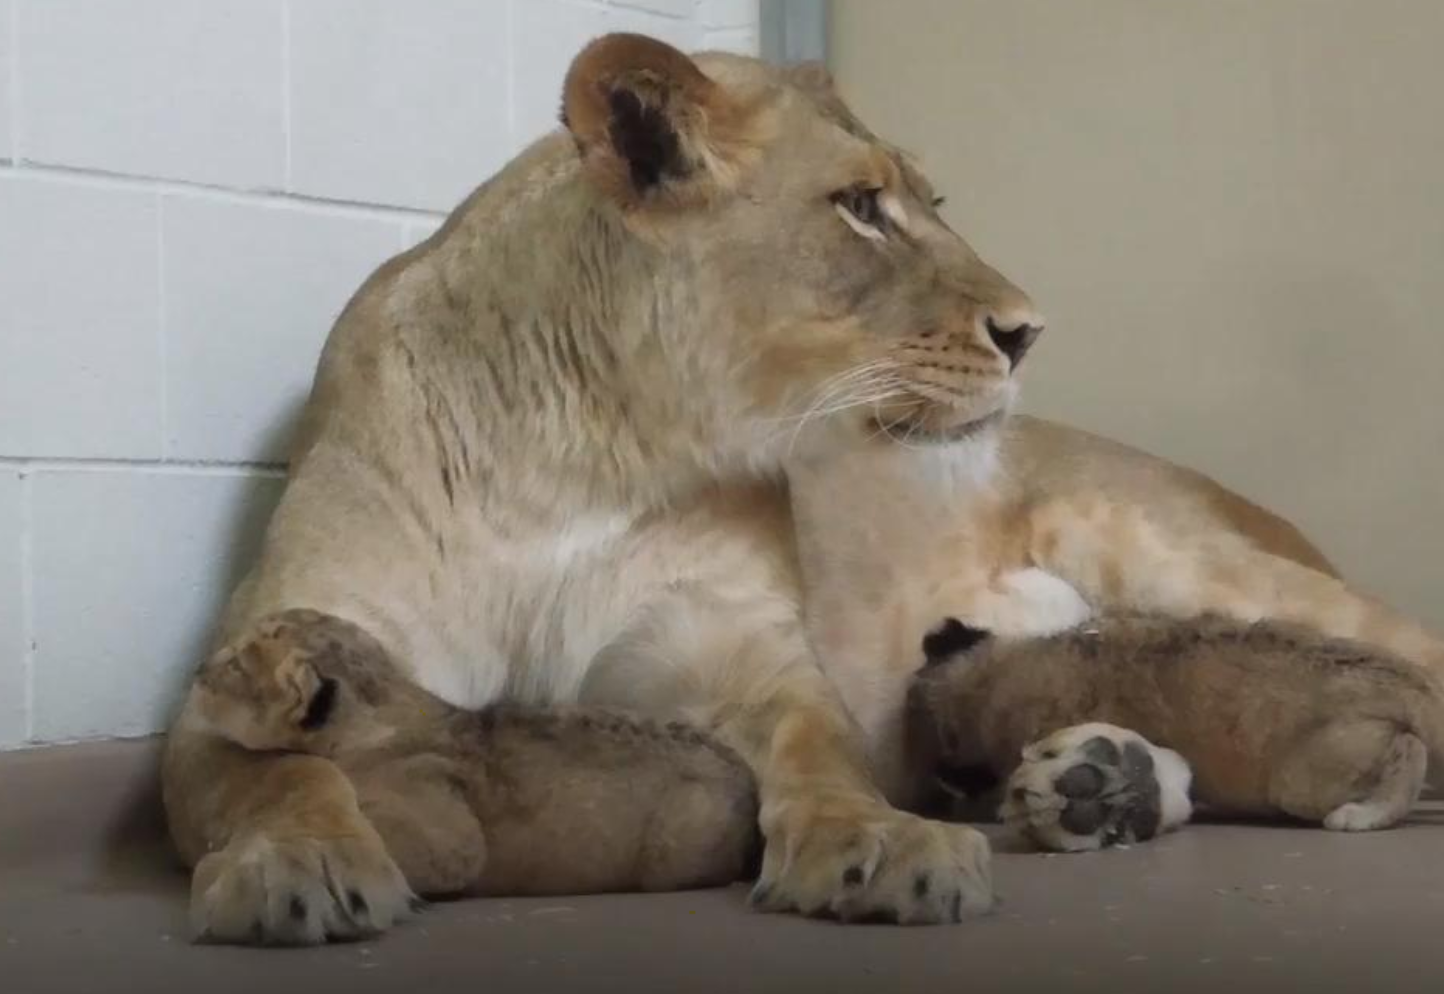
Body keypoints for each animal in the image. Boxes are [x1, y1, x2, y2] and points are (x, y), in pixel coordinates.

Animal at [162, 34, 1444, 944]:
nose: (1028, 331)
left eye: (930, 201)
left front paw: (883, 844)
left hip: (1195, 558)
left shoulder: (749, 658)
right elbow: (282, 774)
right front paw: (297, 867)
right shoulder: (244, 680)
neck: (581, 454)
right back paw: (1105, 782)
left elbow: (820, 751)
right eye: (860, 207)